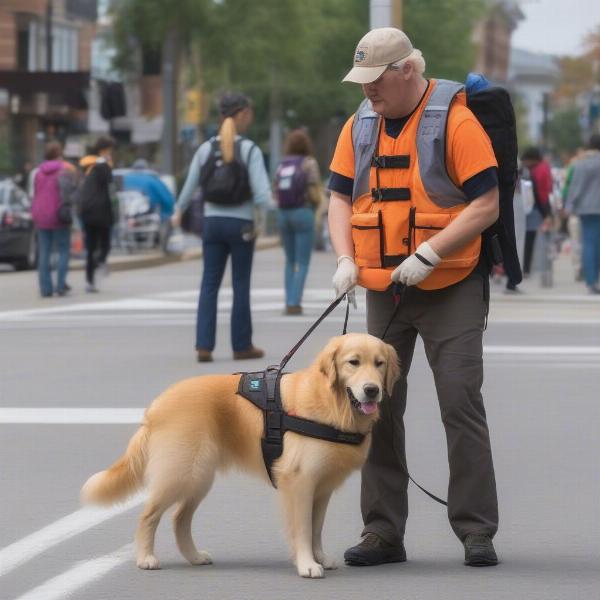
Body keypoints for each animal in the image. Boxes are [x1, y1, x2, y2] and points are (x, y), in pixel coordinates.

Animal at [79, 332, 398, 576]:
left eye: (379, 364)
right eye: (353, 362)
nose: (372, 390)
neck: (332, 404)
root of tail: (156, 405)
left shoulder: (321, 488)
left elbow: (315, 528)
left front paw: (319, 557)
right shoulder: (299, 482)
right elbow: (303, 528)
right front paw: (307, 564)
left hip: (198, 477)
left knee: (179, 518)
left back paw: (194, 556)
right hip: (181, 472)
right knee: (148, 515)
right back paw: (146, 558)